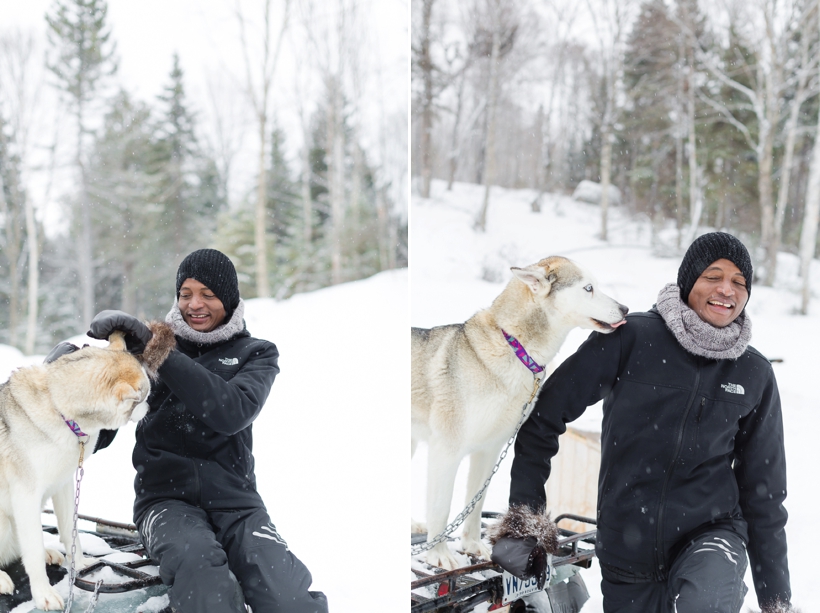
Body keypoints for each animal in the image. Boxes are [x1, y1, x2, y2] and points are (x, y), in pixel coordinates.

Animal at [0, 322, 173, 608]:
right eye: (142, 396)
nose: (150, 407)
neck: (58, 409)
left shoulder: (64, 484)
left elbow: (70, 531)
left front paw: (79, 564)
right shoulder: (26, 496)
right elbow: (32, 550)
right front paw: (43, 594)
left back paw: (48, 552)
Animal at [410, 255, 628, 568]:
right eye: (588, 288)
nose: (625, 309)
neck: (516, 349)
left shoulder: (488, 451)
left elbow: (475, 506)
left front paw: (472, 545)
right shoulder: (446, 451)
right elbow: (441, 509)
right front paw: (438, 555)